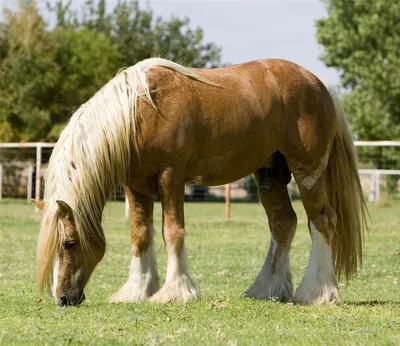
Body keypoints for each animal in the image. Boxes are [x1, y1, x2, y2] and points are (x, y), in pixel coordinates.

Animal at [32, 58, 368, 306]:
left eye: (69, 243)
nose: (63, 298)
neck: (139, 112)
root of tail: (318, 83)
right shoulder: (136, 185)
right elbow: (140, 235)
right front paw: (137, 290)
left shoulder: (171, 176)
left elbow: (172, 231)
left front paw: (176, 291)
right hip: (270, 173)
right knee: (283, 223)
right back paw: (265, 289)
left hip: (307, 170)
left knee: (322, 220)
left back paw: (316, 293)